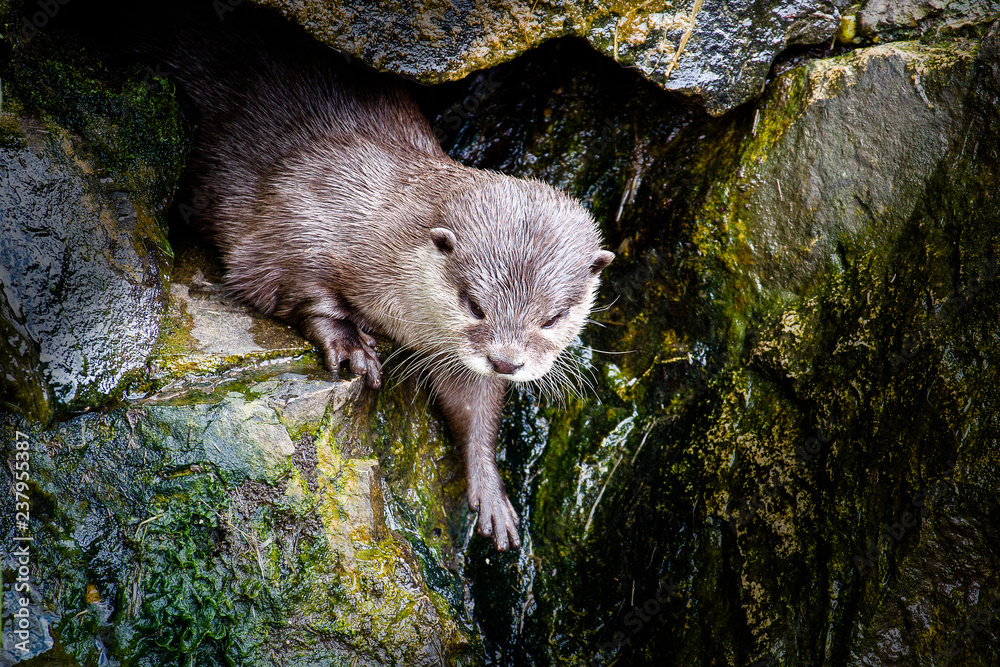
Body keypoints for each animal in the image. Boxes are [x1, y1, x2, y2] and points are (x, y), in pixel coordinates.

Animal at [163, 25, 613, 551]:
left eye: (552, 317)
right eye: (474, 305)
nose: (506, 361)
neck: (380, 226)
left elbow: (475, 405)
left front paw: (490, 488)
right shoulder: (291, 226)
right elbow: (292, 282)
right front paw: (351, 345)